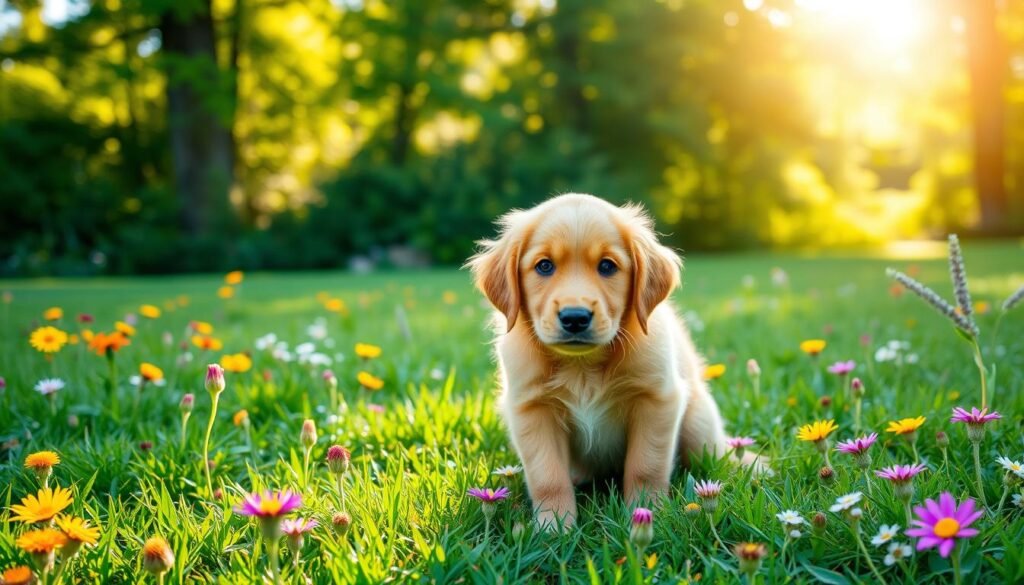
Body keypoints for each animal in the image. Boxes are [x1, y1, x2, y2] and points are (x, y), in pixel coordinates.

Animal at [468, 193, 733, 532]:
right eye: (544, 266)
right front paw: (554, 527)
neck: (582, 366)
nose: (575, 318)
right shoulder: (532, 409)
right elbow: (547, 477)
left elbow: (646, 465)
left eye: (607, 266)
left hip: (699, 425)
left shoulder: (657, 399)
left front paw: (646, 513)